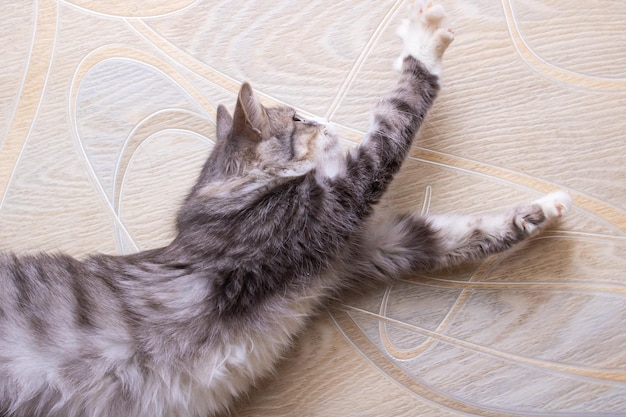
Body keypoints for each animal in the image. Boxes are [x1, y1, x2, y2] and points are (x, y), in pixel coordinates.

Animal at [0, 3, 572, 416]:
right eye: (297, 119)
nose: (325, 120)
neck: (239, 196)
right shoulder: (336, 203)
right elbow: (399, 112)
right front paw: (422, 42)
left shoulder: (367, 246)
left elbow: (461, 232)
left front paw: (542, 210)